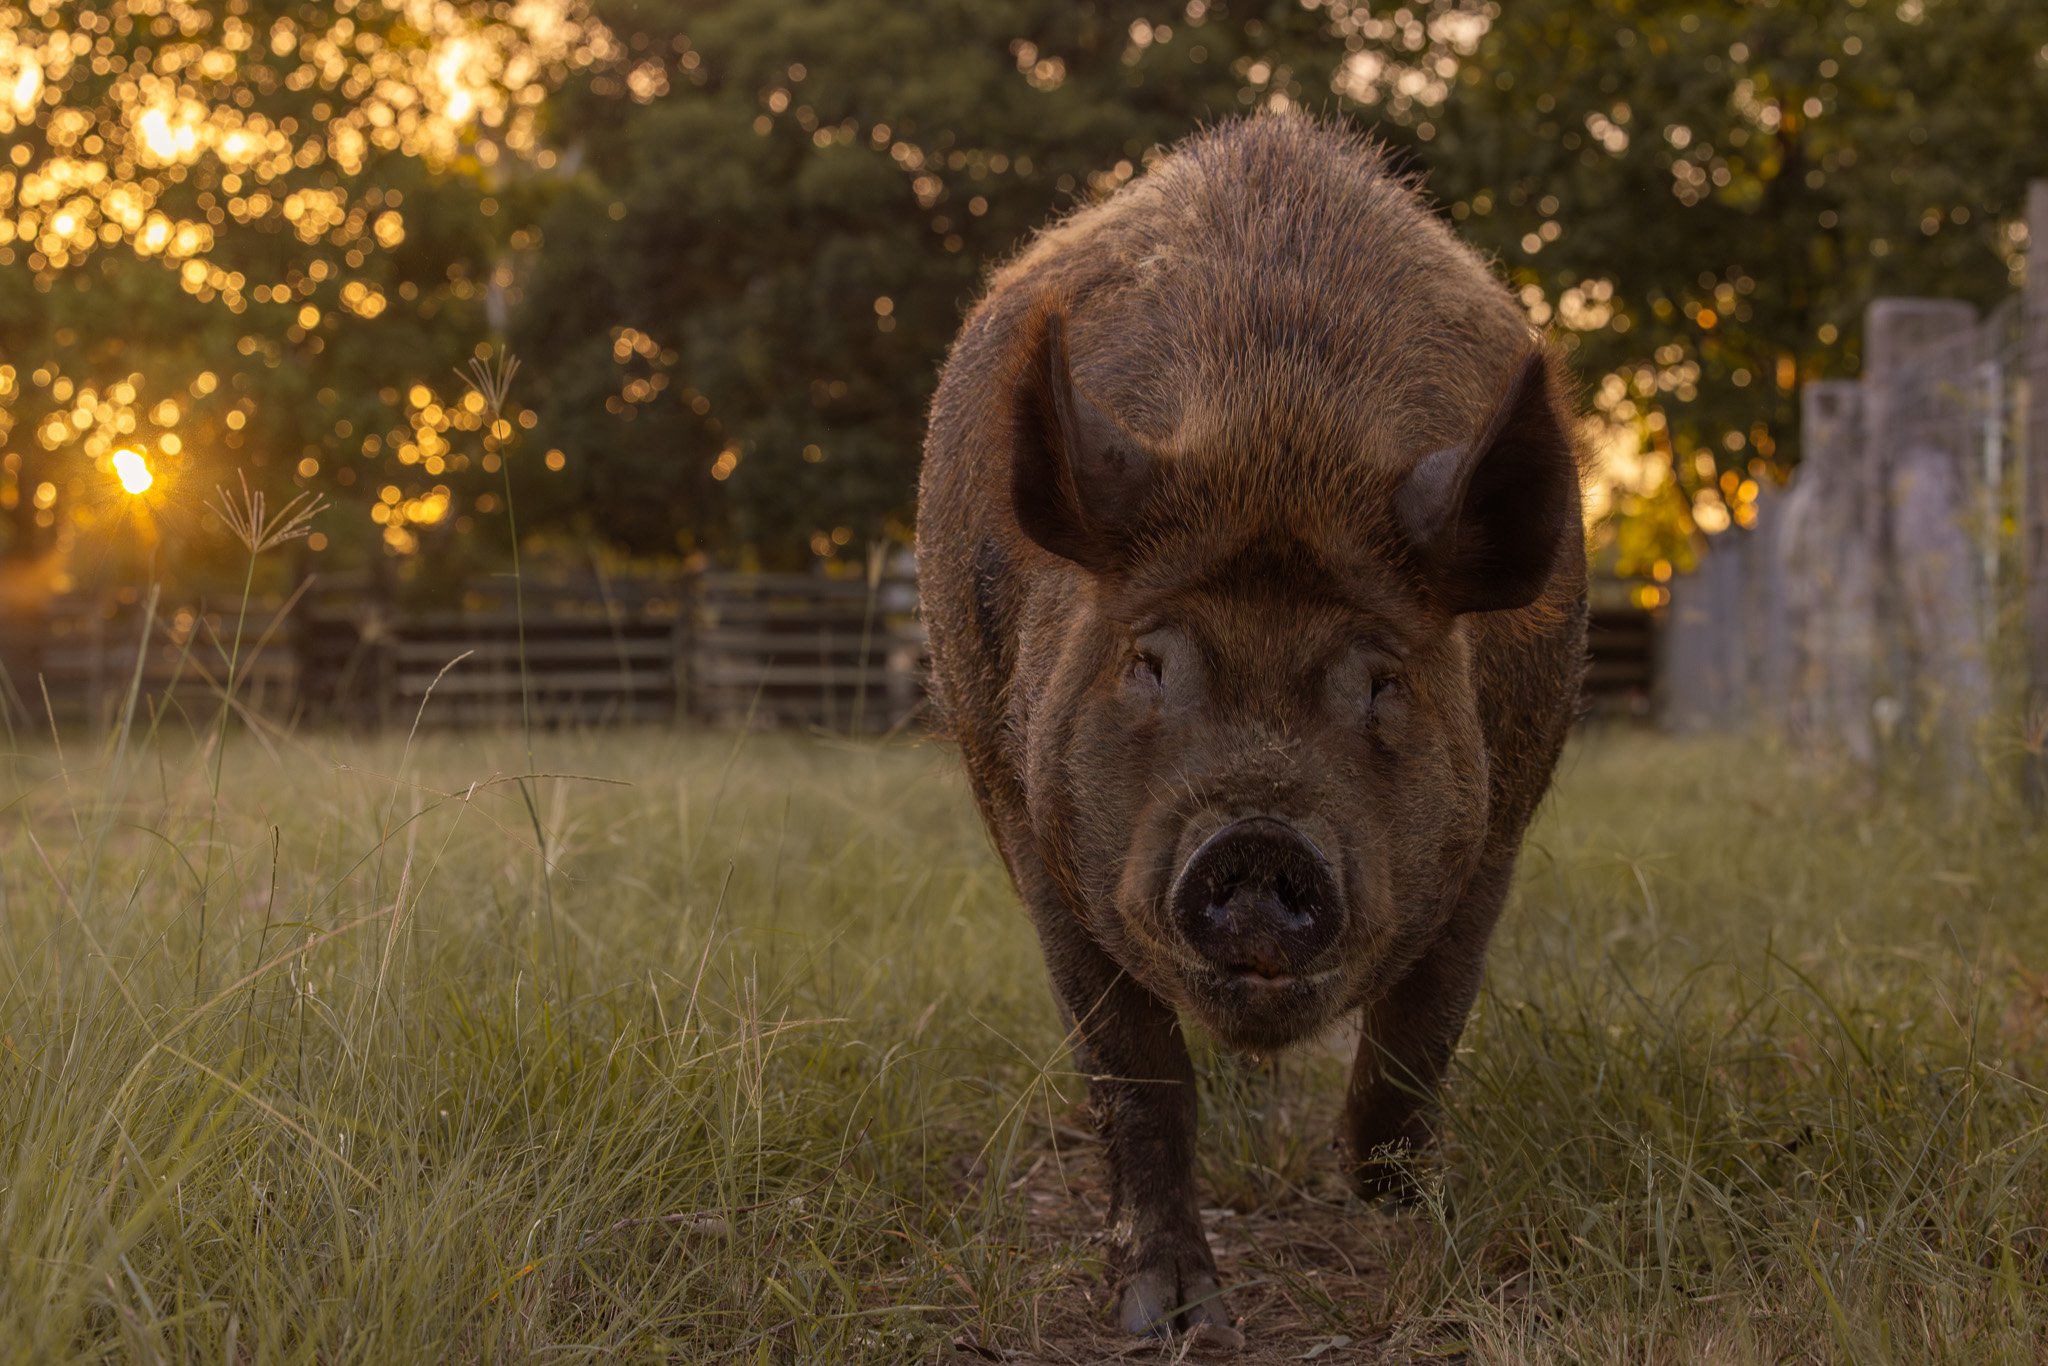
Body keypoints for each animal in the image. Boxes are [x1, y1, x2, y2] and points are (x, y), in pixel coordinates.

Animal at [916, 116, 1588, 1342]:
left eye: (1383, 680)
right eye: (1149, 662)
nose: (1261, 837)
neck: (1279, 433)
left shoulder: (1499, 821)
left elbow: (1423, 1030)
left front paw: (1393, 1205)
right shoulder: (1036, 827)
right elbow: (1136, 1072)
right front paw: (1170, 1321)